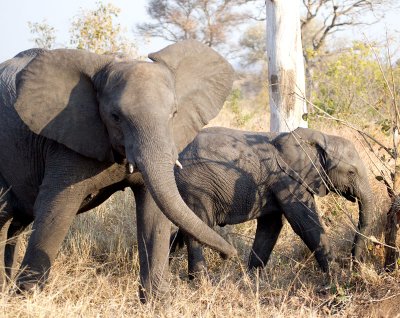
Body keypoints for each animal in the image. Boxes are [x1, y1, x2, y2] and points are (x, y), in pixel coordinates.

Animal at [0, 41, 238, 296]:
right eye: (115, 117)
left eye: (174, 114)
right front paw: (28, 295)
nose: (229, 255)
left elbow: (154, 212)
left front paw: (157, 299)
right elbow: (57, 208)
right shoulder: (65, 144)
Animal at [170, 126, 374, 278]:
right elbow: (305, 223)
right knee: (197, 226)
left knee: (183, 229)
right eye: (351, 172)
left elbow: (271, 226)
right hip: (195, 186)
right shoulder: (286, 178)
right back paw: (199, 282)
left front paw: (251, 280)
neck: (320, 138)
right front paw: (337, 276)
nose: (354, 264)